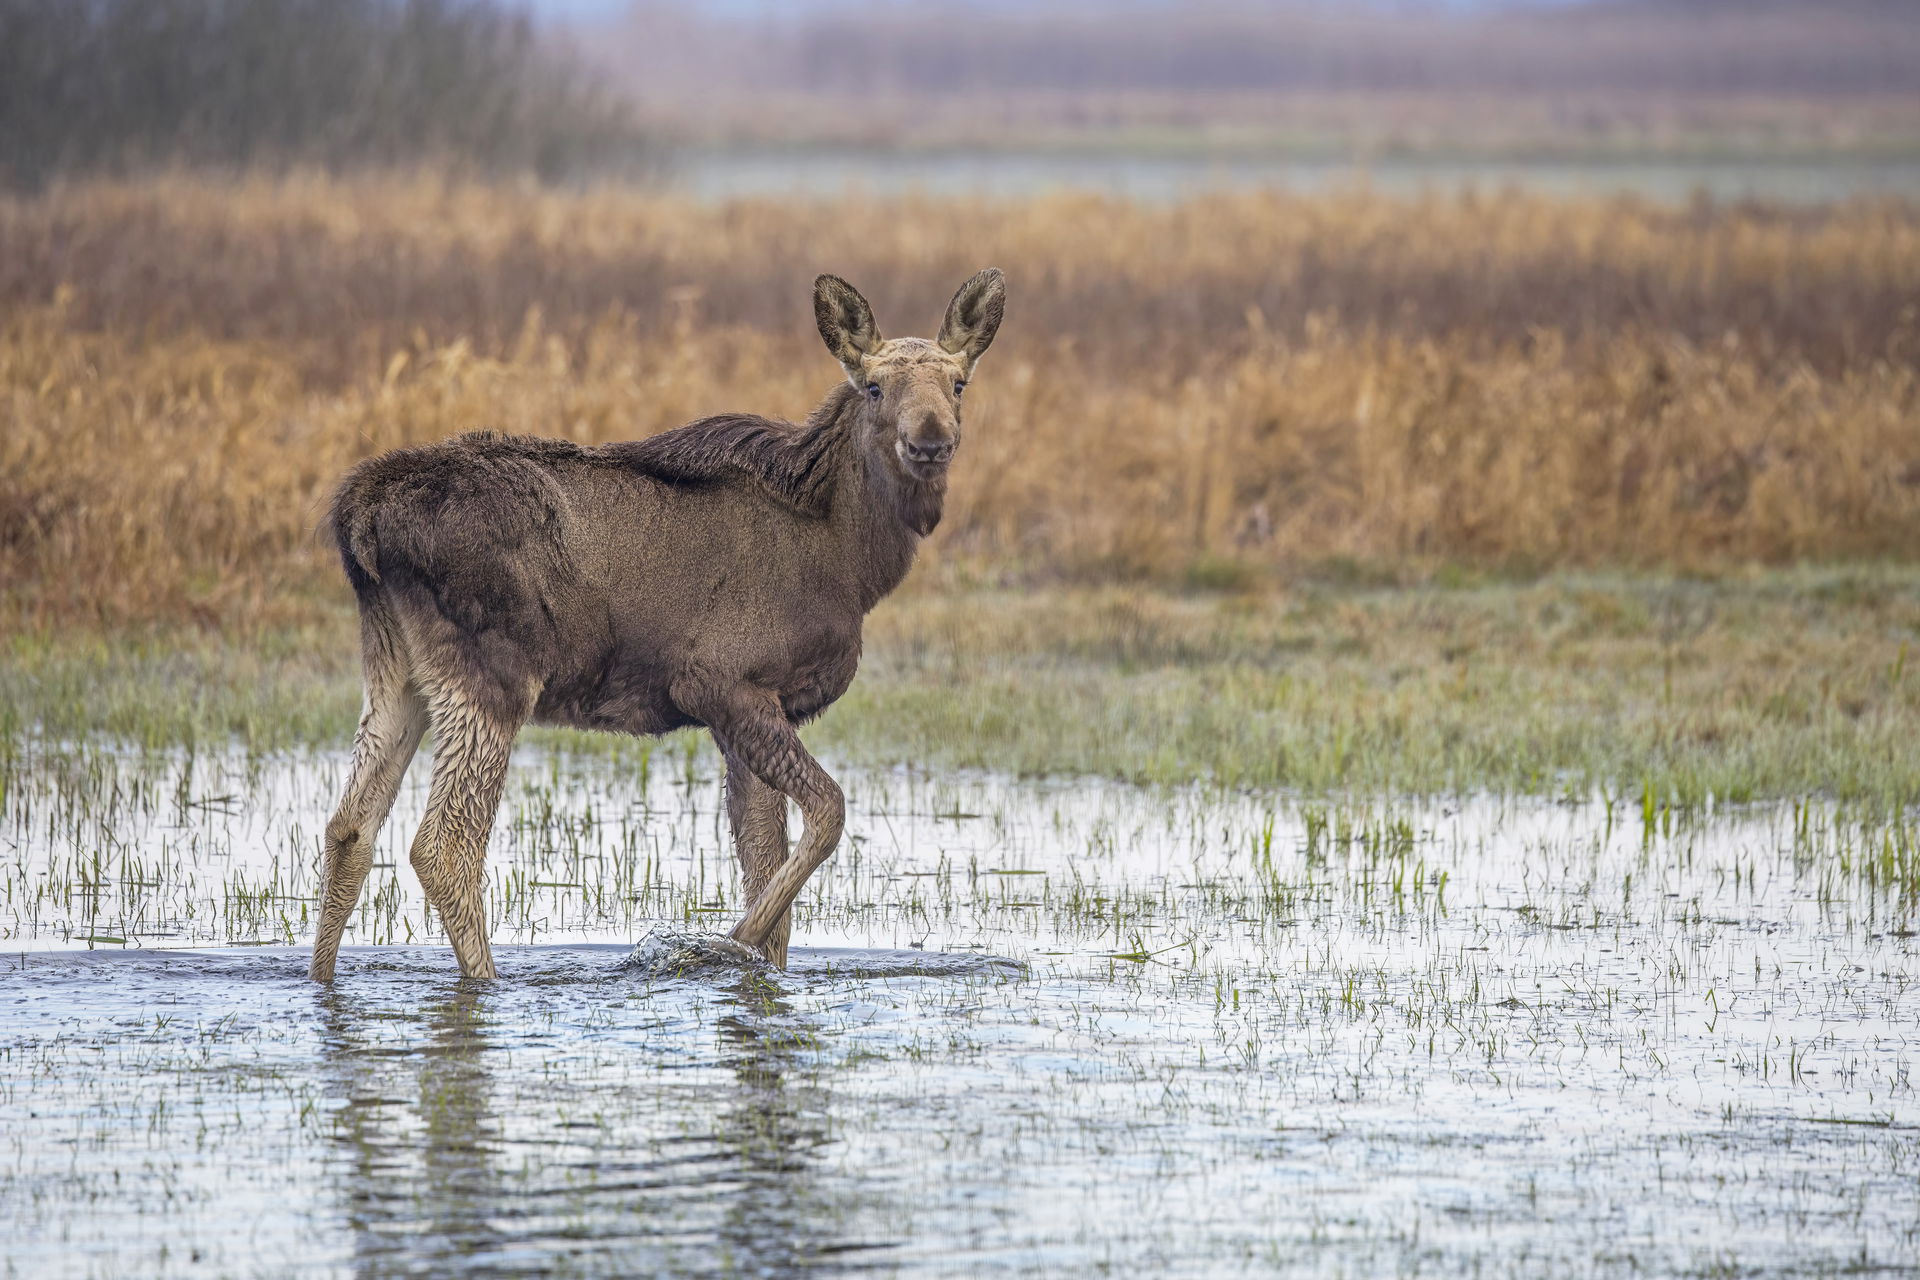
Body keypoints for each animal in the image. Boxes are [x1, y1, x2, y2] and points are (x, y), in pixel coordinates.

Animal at [307, 270, 1006, 981]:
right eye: (873, 386)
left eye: (959, 383)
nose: (930, 441)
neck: (855, 564)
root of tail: (359, 515)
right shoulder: (721, 683)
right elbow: (828, 815)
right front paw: (719, 944)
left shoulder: (751, 709)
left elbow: (767, 867)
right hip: (490, 671)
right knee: (443, 846)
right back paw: (485, 981)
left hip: (398, 671)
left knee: (349, 827)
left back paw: (321, 981)